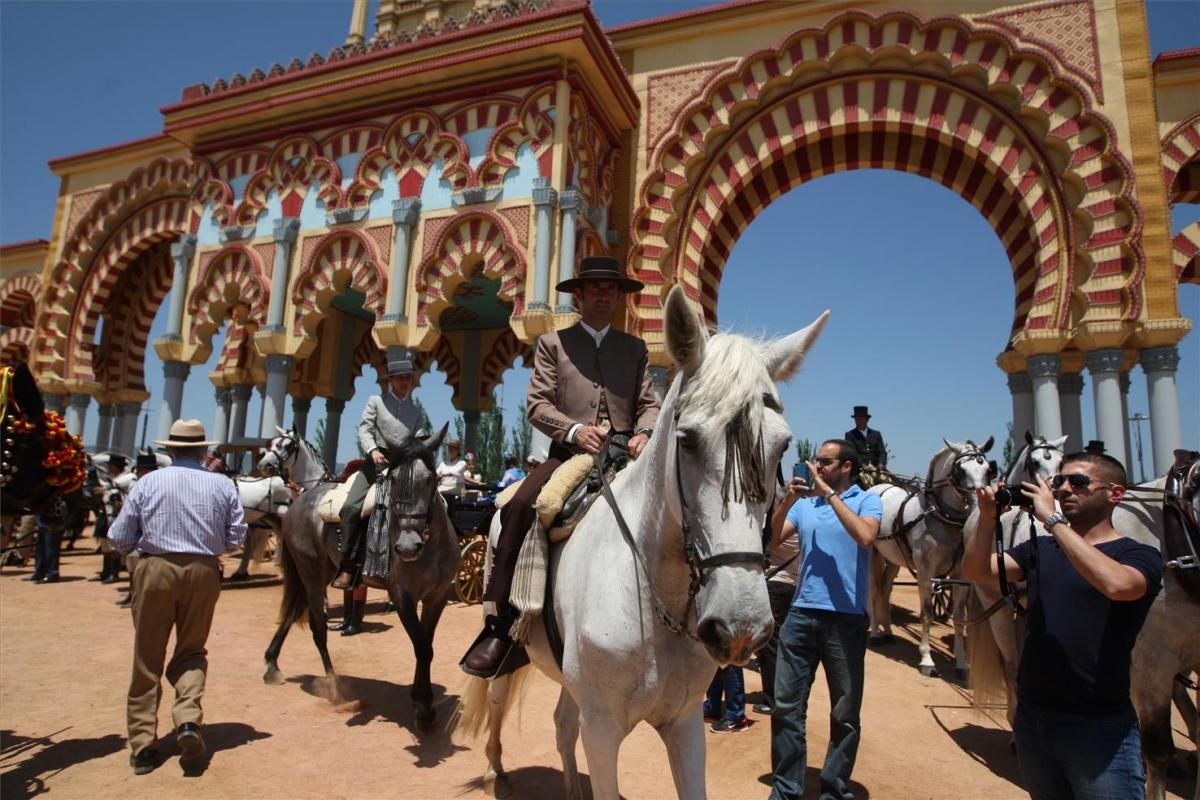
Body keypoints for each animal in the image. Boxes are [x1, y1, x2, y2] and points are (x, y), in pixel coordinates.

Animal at [262, 424, 458, 734]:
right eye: (393, 479)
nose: (407, 547)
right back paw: (335, 687)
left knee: (295, 612)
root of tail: (299, 503)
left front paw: (422, 701)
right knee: (317, 627)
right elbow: (421, 647)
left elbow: (425, 646)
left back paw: (273, 663)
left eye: (430, 480)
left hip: (321, 572)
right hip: (311, 572)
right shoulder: (402, 597)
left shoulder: (436, 597)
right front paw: (423, 709)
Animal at [451, 284, 825, 796]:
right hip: (503, 634)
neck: (653, 598)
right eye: (686, 440)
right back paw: (495, 773)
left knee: (562, 725)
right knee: (495, 699)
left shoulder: (684, 725)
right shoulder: (603, 729)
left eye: (783, 446)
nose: (740, 628)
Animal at [873, 441, 993, 681]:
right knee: (871, 590)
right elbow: (927, 614)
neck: (939, 516)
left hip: (892, 559)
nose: (980, 504)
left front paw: (962, 663)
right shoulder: (926, 572)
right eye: (960, 470)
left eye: (987, 469)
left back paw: (887, 631)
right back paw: (874, 633)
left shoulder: (960, 576)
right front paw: (927, 660)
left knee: (885, 589)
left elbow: (959, 616)